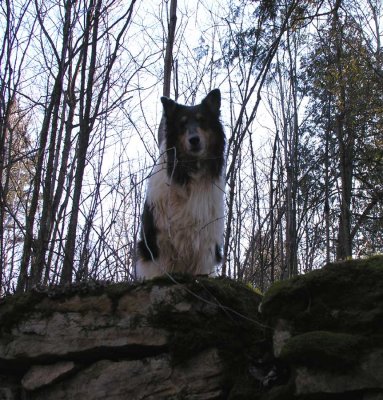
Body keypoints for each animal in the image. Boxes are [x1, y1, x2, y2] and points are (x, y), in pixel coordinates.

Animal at [136, 89, 225, 280]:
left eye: (202, 120)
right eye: (182, 124)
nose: (194, 140)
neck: (188, 175)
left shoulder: (205, 241)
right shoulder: (161, 241)